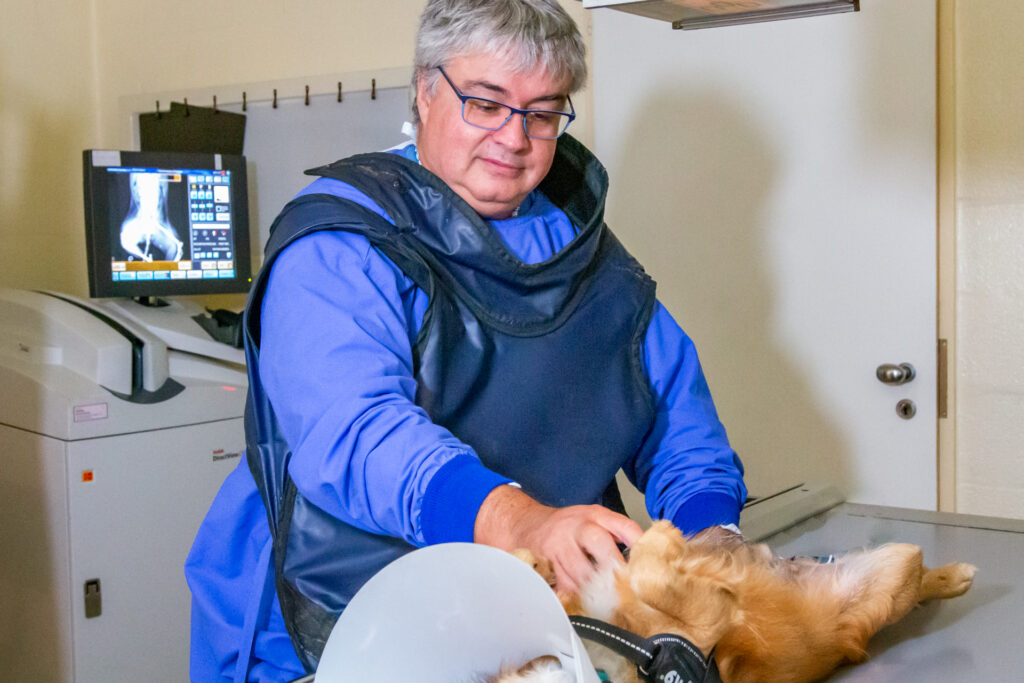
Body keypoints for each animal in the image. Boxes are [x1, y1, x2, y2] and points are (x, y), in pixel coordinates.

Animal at [495, 520, 974, 679]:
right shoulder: (705, 625)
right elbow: (650, 576)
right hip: (894, 574)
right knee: (921, 570)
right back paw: (957, 576)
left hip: (893, 569)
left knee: (925, 573)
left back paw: (957, 575)